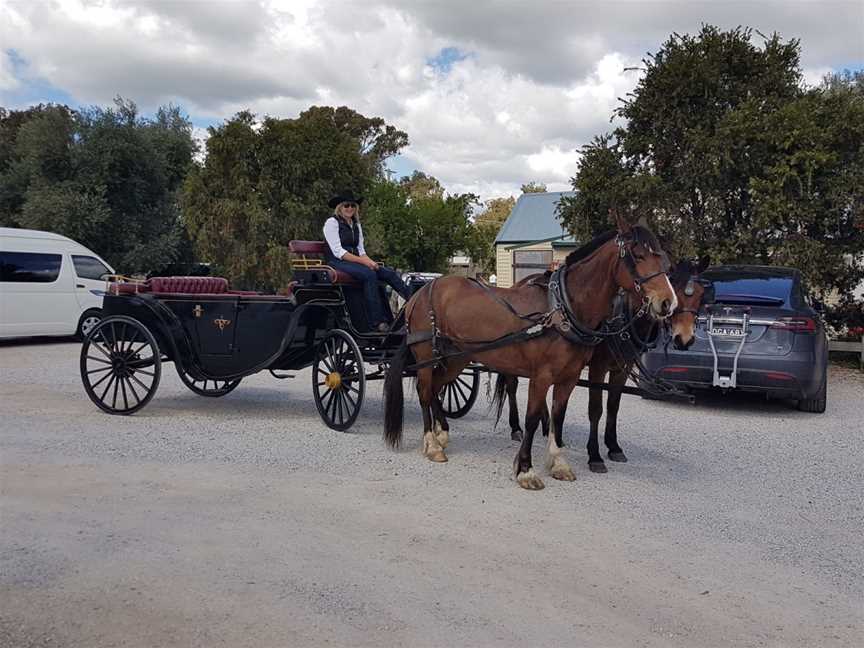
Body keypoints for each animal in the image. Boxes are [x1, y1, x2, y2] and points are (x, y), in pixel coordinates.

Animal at [384, 215, 680, 488]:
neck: (563, 308)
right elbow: (532, 419)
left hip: (456, 358)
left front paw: (558, 464)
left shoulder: (569, 377)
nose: (668, 303)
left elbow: (558, 417)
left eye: (663, 259)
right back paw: (432, 444)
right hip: (426, 356)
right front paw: (526, 469)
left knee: (436, 388)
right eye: (638, 256)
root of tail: (421, 291)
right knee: (425, 391)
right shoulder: (542, 376)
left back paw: (442, 434)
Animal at [492, 256, 708, 474]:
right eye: (675, 286)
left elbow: (613, 406)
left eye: (701, 294)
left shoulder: (622, 368)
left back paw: (547, 428)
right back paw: (516, 428)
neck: (622, 316)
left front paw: (613, 446)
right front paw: (594, 455)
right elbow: (595, 409)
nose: (685, 339)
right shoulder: (598, 367)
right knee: (512, 386)